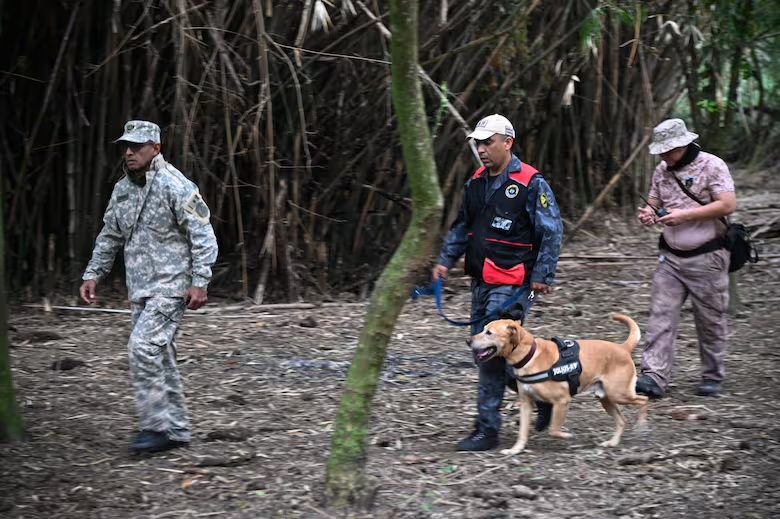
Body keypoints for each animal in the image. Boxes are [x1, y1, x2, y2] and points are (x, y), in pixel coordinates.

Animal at [470, 312, 644, 456]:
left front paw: (566, 435)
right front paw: (515, 450)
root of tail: (623, 348)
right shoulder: (526, 404)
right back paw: (613, 442)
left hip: (619, 394)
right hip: (606, 398)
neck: (529, 356)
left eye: (489, 333)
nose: (468, 340)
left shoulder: (562, 400)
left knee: (643, 400)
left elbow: (553, 429)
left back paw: (641, 425)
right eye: (483, 329)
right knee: (622, 420)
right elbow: (522, 433)